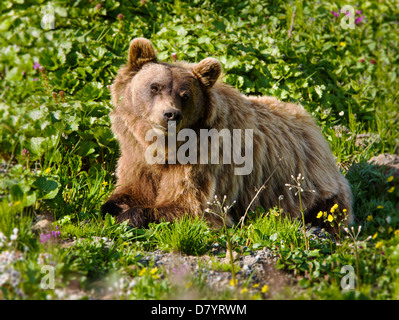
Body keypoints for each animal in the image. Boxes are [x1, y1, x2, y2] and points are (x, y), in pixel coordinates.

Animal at [101, 37, 354, 232]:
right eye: (155, 87)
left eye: (185, 95)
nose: (170, 114)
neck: (163, 148)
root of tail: (312, 122)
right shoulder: (136, 156)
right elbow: (131, 188)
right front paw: (112, 206)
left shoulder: (204, 160)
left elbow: (191, 205)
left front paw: (131, 215)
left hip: (313, 186)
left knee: (331, 211)